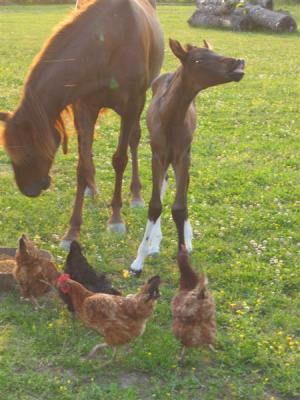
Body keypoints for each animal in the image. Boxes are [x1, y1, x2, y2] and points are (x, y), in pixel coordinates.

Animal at [0, 0, 164, 248]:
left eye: (31, 151)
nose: (29, 188)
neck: (109, 40)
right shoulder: (84, 106)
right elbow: (82, 166)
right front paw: (72, 231)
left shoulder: (131, 104)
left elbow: (120, 159)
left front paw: (116, 218)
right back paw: (91, 188)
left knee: (134, 139)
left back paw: (135, 194)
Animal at [130, 38, 245, 276]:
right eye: (198, 60)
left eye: (214, 52)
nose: (238, 62)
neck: (171, 118)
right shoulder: (158, 155)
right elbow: (155, 205)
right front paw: (139, 259)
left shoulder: (183, 156)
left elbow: (180, 207)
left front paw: (183, 251)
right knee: (163, 186)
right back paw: (154, 243)